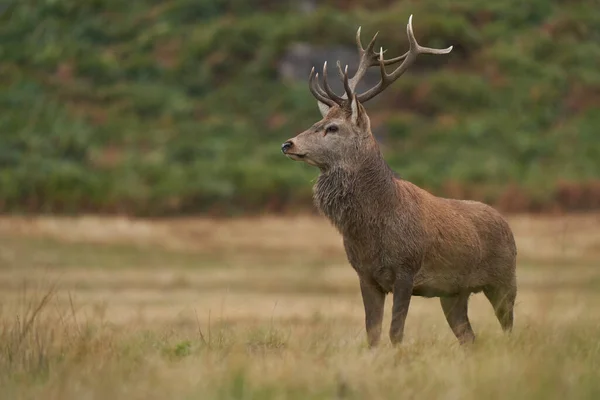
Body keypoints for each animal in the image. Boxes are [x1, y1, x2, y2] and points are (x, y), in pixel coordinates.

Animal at [280, 15, 516, 346]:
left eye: (333, 128)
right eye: (318, 121)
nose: (288, 144)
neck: (371, 229)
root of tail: (507, 223)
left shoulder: (407, 270)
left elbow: (395, 332)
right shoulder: (365, 275)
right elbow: (373, 333)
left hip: (505, 280)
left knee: (509, 328)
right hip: (453, 293)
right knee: (469, 336)